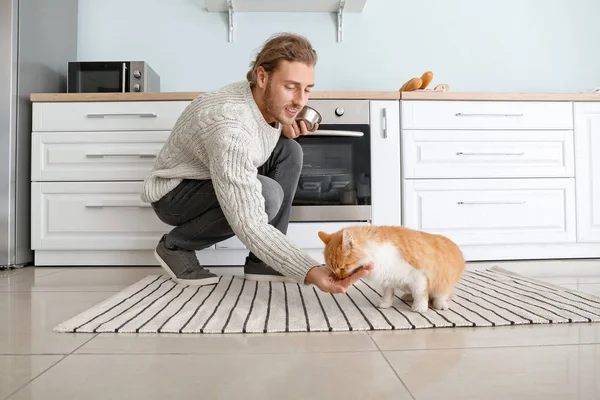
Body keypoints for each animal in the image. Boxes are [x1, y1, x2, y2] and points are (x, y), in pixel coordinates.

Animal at [316, 225, 466, 312]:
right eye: (333, 270)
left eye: (342, 268)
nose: (339, 278)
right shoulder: (388, 277)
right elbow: (388, 293)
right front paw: (385, 304)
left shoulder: (419, 276)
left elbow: (420, 294)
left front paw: (419, 308)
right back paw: (408, 296)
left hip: (443, 282)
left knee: (441, 295)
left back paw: (440, 304)